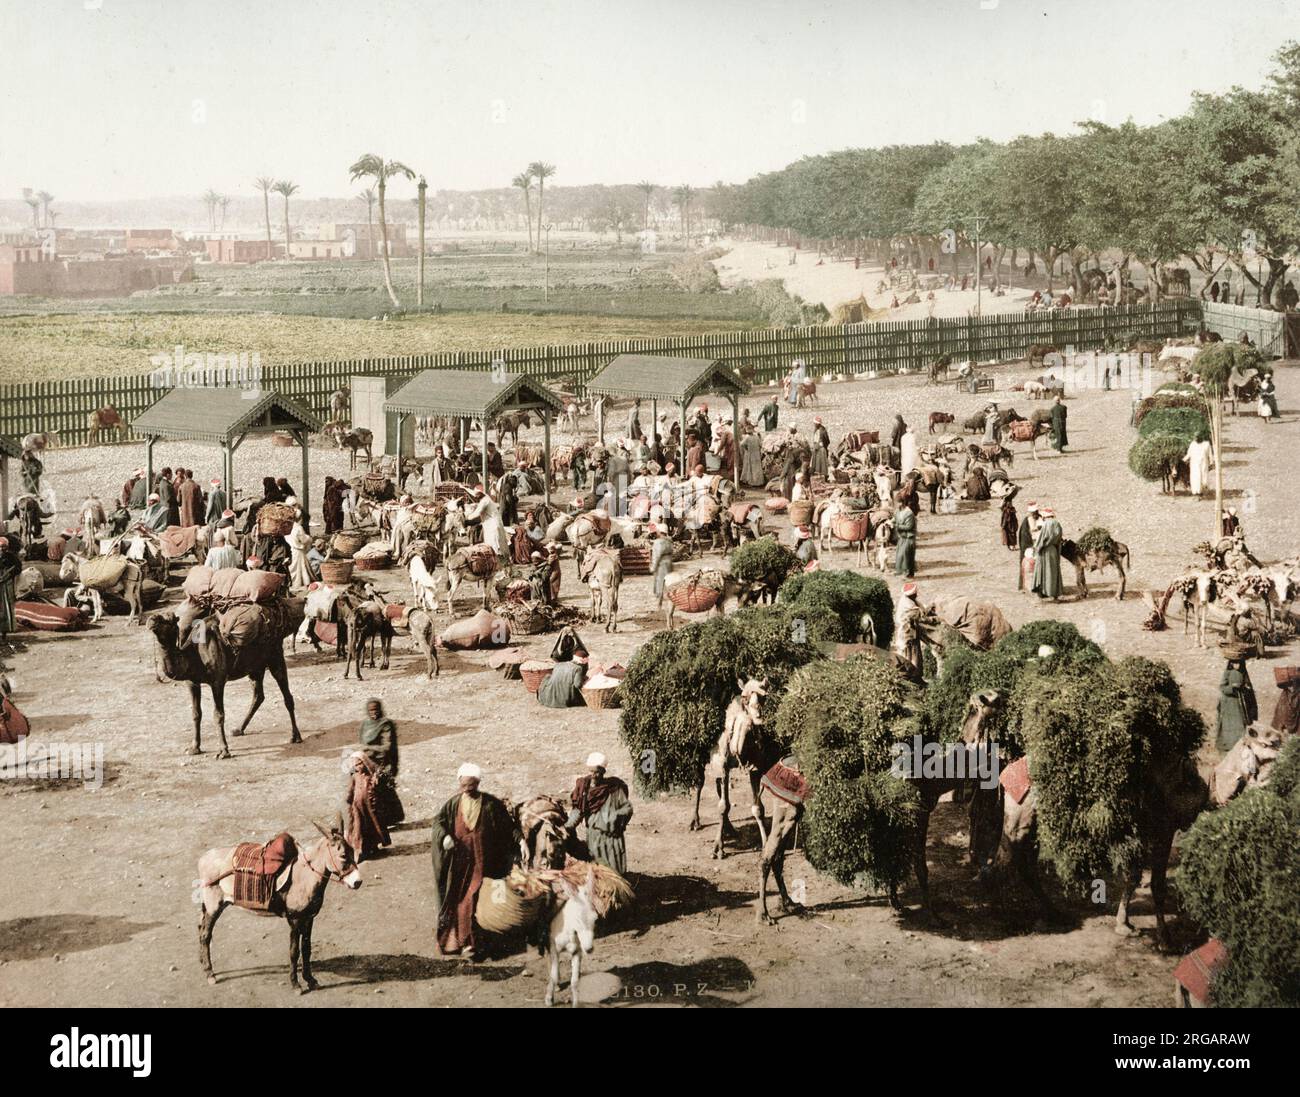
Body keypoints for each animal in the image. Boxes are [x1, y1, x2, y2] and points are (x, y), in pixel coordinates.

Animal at [146, 613, 301, 759]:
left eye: (169, 621)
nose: (151, 620)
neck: (194, 655)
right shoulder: (192, 683)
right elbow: (196, 714)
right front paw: (194, 748)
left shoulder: (218, 681)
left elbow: (218, 715)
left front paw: (224, 751)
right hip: (255, 667)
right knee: (259, 696)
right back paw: (239, 729)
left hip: (275, 657)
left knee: (287, 696)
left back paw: (296, 736)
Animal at [195, 821, 364, 993]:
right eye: (343, 855)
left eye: (353, 851)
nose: (357, 882)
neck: (305, 876)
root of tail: (204, 858)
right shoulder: (294, 920)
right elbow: (294, 951)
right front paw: (295, 984)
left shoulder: (309, 918)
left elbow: (307, 949)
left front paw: (310, 979)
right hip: (213, 906)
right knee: (205, 935)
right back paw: (210, 973)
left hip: (211, 906)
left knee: (200, 928)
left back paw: (202, 962)